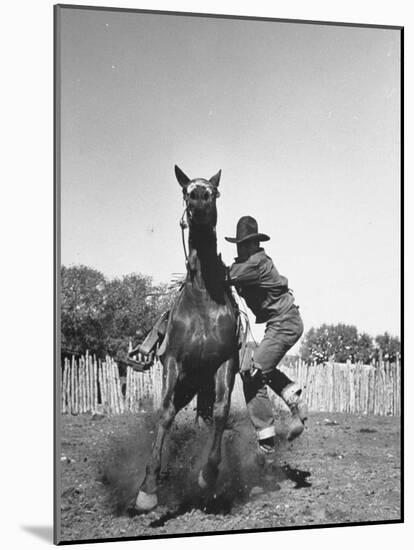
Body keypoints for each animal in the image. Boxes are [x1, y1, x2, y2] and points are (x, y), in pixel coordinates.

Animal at [135, 166, 239, 516]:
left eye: (214, 191)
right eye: (185, 191)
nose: (199, 199)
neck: (204, 297)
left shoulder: (224, 363)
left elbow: (221, 412)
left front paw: (208, 474)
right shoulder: (173, 362)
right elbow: (165, 413)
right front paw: (147, 490)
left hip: (200, 385)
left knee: (207, 416)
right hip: (186, 383)